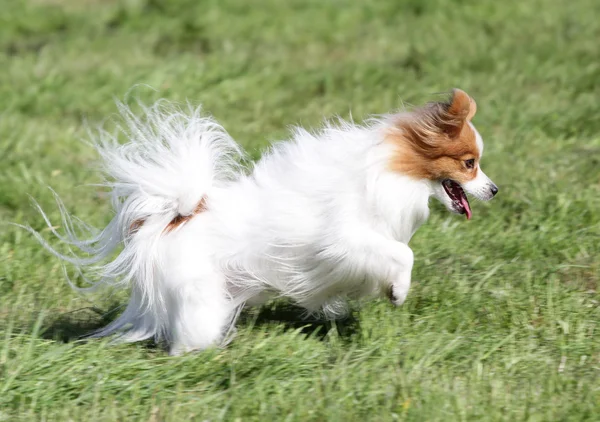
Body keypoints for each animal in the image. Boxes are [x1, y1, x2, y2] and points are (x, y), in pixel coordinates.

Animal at [31, 90, 496, 356]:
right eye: (469, 164)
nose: (493, 190)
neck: (395, 171)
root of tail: (177, 216)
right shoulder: (345, 239)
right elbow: (402, 253)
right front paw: (398, 291)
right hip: (201, 299)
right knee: (190, 337)